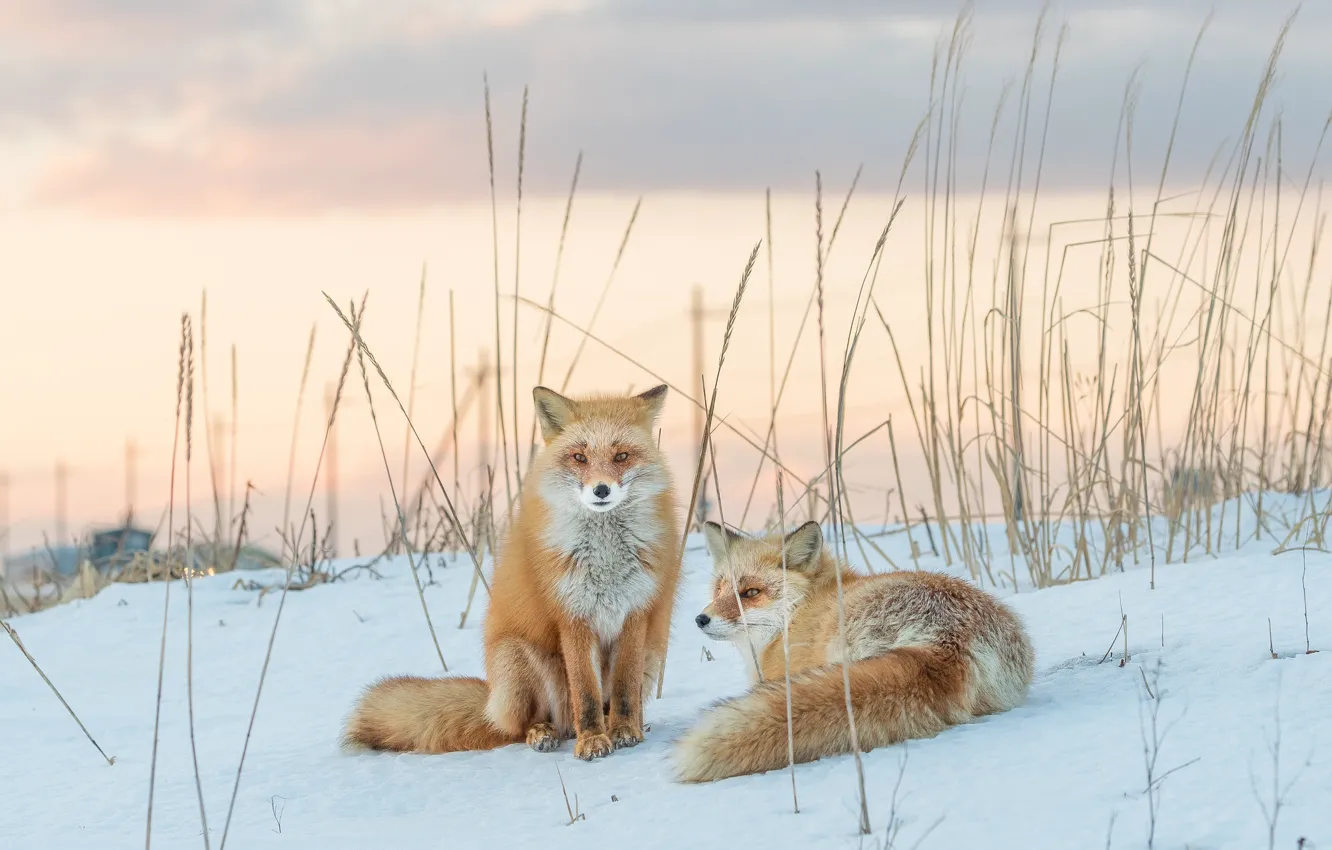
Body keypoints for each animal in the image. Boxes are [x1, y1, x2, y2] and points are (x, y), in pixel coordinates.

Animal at [344, 384, 682, 761]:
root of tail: (491, 699)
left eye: (621, 456)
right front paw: (593, 740)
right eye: (579, 457)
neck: (605, 559)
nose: (601, 490)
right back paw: (544, 733)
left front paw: (623, 731)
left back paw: (631, 725)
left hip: (653, 655)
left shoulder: (635, 612)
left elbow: (623, 689)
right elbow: (586, 695)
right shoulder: (572, 615)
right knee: (527, 726)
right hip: (517, 660)